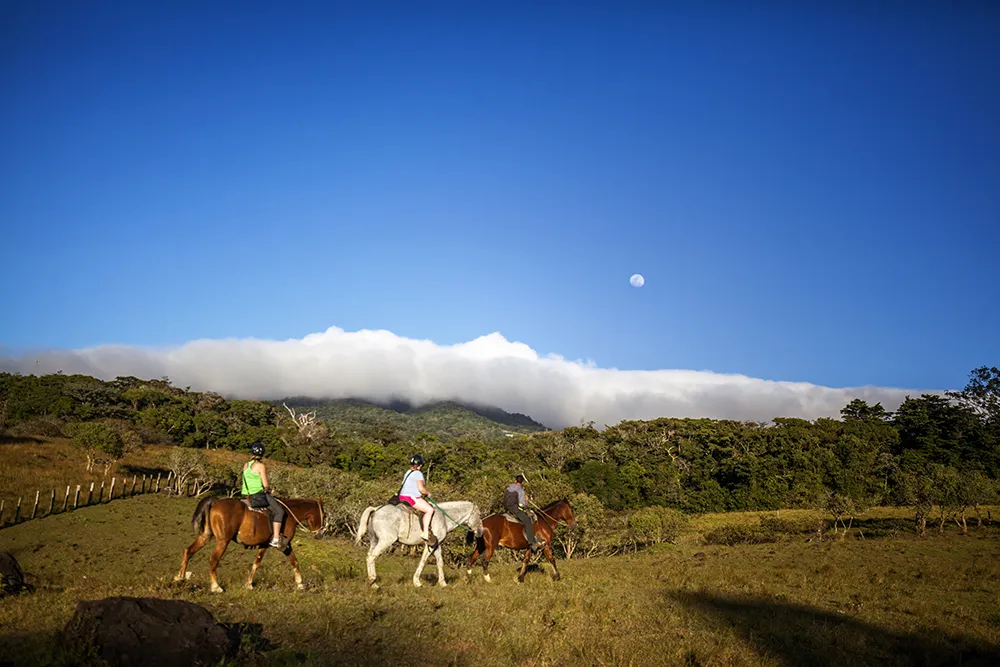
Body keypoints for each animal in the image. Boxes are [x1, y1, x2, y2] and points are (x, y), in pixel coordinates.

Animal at [173, 496, 324, 596]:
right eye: (324, 515)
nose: (320, 534)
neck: (290, 514)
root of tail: (215, 502)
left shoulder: (266, 544)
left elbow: (259, 563)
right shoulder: (283, 545)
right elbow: (291, 561)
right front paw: (300, 583)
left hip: (205, 536)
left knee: (188, 551)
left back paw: (179, 577)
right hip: (223, 541)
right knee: (213, 560)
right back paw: (216, 587)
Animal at [356, 500, 484, 588]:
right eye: (479, 515)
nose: (480, 532)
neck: (443, 517)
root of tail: (376, 509)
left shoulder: (437, 545)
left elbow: (440, 563)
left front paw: (443, 583)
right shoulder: (429, 545)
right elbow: (423, 561)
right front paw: (417, 582)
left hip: (374, 541)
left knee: (369, 556)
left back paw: (372, 582)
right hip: (386, 541)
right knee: (372, 557)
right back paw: (373, 582)